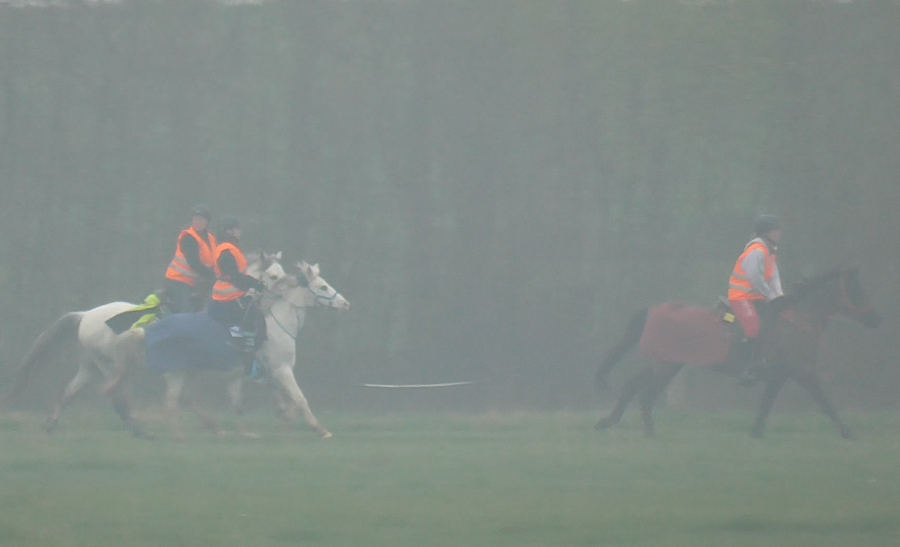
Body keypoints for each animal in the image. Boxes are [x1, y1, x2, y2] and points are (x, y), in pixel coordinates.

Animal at [2, 252, 289, 437]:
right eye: (274, 276)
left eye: (283, 273)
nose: (287, 294)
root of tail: (85, 315)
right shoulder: (190, 367)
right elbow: (189, 397)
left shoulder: (193, 369)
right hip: (111, 366)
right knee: (117, 397)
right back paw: (139, 429)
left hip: (91, 366)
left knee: (69, 392)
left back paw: (51, 424)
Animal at [105, 260, 349, 440]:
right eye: (323, 286)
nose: (346, 304)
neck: (277, 325)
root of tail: (148, 330)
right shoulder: (281, 370)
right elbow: (299, 398)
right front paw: (321, 430)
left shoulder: (255, 376)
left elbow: (251, 404)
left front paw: (267, 430)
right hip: (178, 373)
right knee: (171, 402)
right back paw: (179, 436)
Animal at [593, 267, 882, 439]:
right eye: (856, 290)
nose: (875, 318)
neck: (799, 319)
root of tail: (654, 310)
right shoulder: (802, 373)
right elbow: (826, 403)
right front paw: (849, 433)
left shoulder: (780, 376)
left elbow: (765, 407)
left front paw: (755, 434)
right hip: (667, 366)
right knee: (645, 393)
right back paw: (649, 432)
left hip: (666, 364)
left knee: (632, 385)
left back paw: (608, 421)